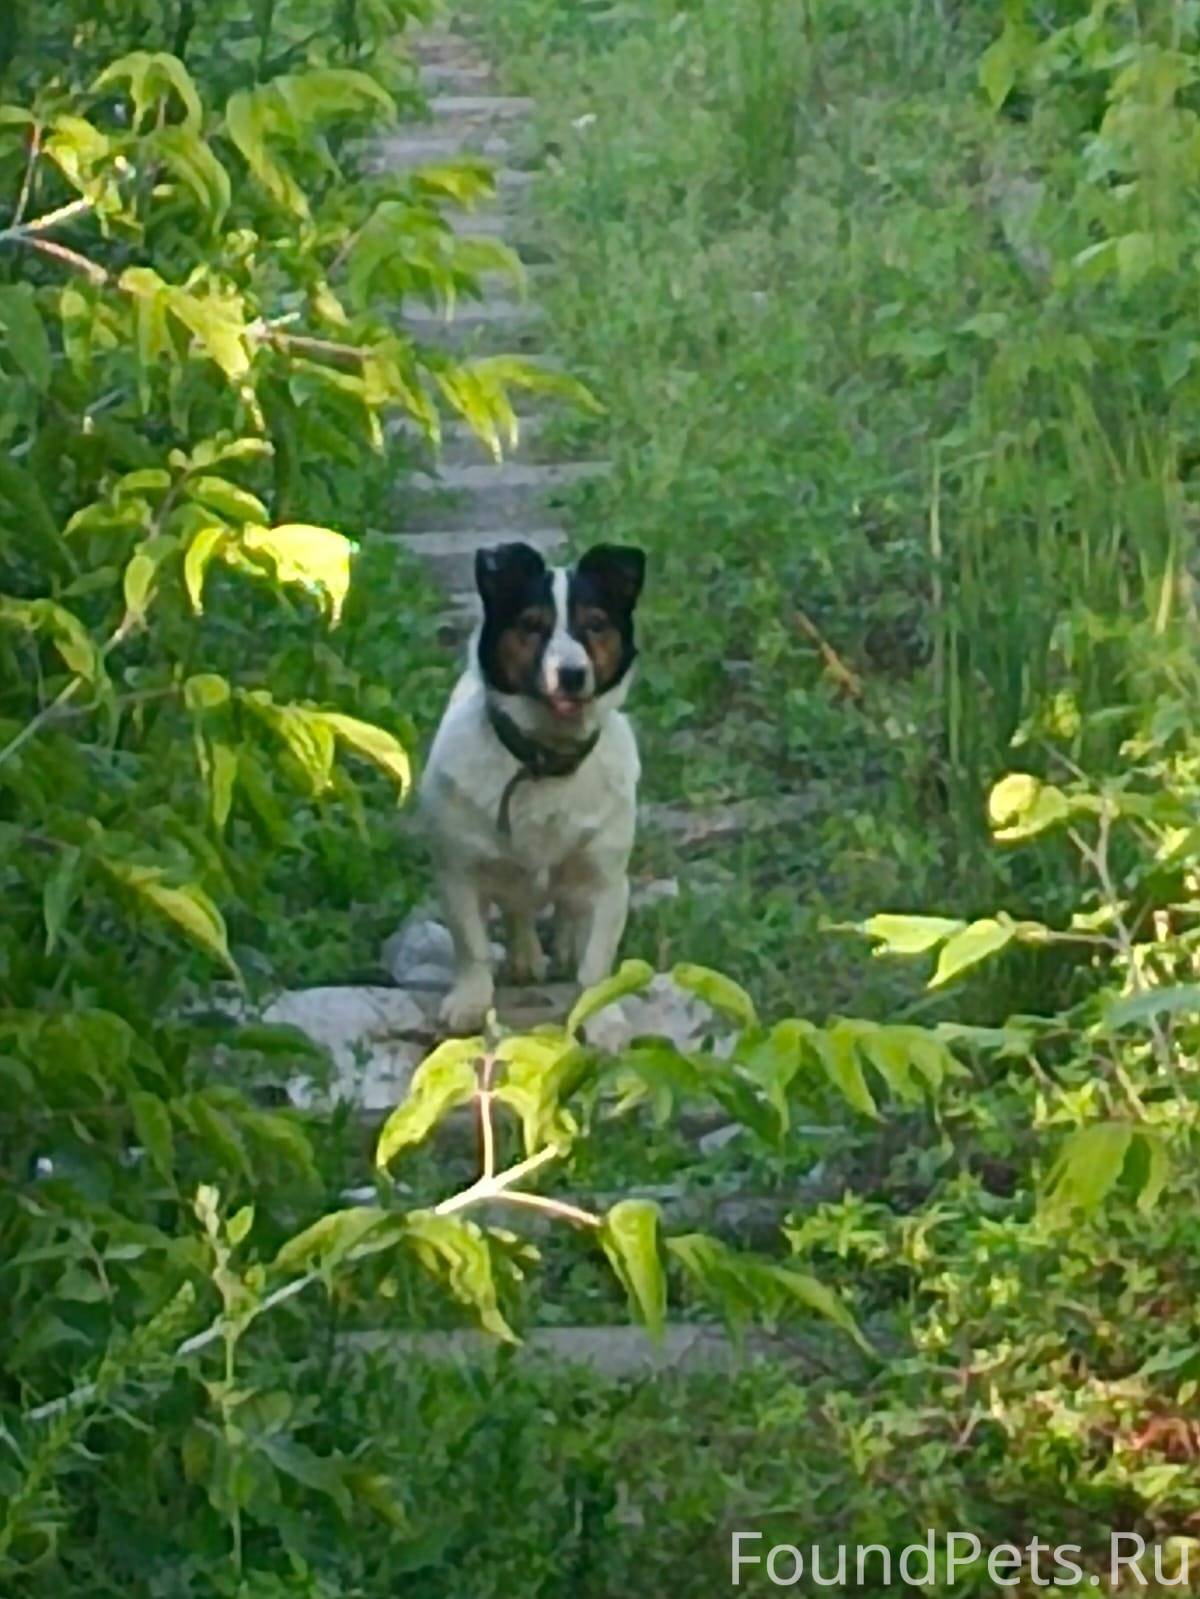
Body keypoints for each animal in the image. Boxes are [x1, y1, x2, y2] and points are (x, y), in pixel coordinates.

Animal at [422, 543, 649, 1029]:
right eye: (530, 625)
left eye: (595, 624)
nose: (571, 674)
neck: (546, 762)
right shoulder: (458, 871)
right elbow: (472, 945)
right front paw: (471, 1001)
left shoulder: (607, 879)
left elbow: (596, 966)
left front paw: (602, 1019)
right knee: (519, 907)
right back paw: (526, 956)